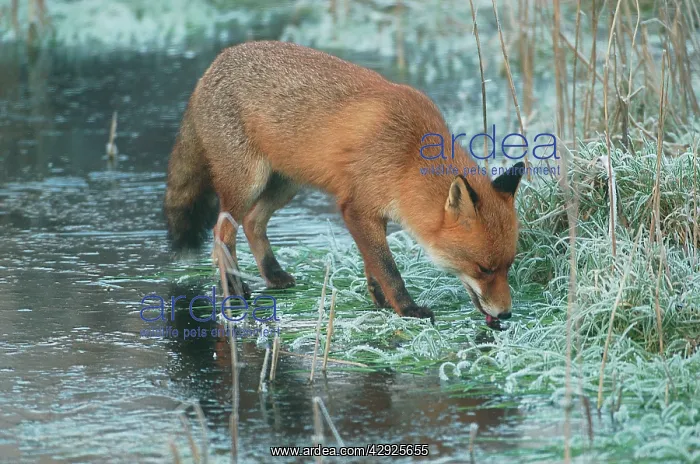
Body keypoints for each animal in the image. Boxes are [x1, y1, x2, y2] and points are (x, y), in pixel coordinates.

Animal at [164, 40, 525, 326]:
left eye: (508, 266)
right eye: (483, 268)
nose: (506, 313)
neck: (407, 155)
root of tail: (213, 66)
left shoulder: (371, 212)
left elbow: (373, 263)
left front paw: (380, 300)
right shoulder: (355, 208)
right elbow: (388, 267)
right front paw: (406, 309)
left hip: (285, 185)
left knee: (253, 223)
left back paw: (273, 275)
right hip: (247, 185)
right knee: (221, 233)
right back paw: (234, 290)